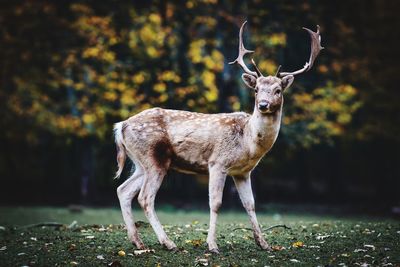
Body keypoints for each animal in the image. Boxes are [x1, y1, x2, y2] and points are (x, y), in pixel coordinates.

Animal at [113, 21, 324, 253]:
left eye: (278, 90)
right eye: (257, 89)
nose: (263, 104)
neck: (248, 142)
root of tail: (121, 126)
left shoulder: (243, 172)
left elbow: (250, 204)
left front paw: (264, 243)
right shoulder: (217, 163)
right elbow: (215, 203)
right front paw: (212, 245)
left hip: (141, 162)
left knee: (123, 190)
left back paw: (138, 242)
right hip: (154, 158)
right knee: (145, 197)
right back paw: (168, 243)